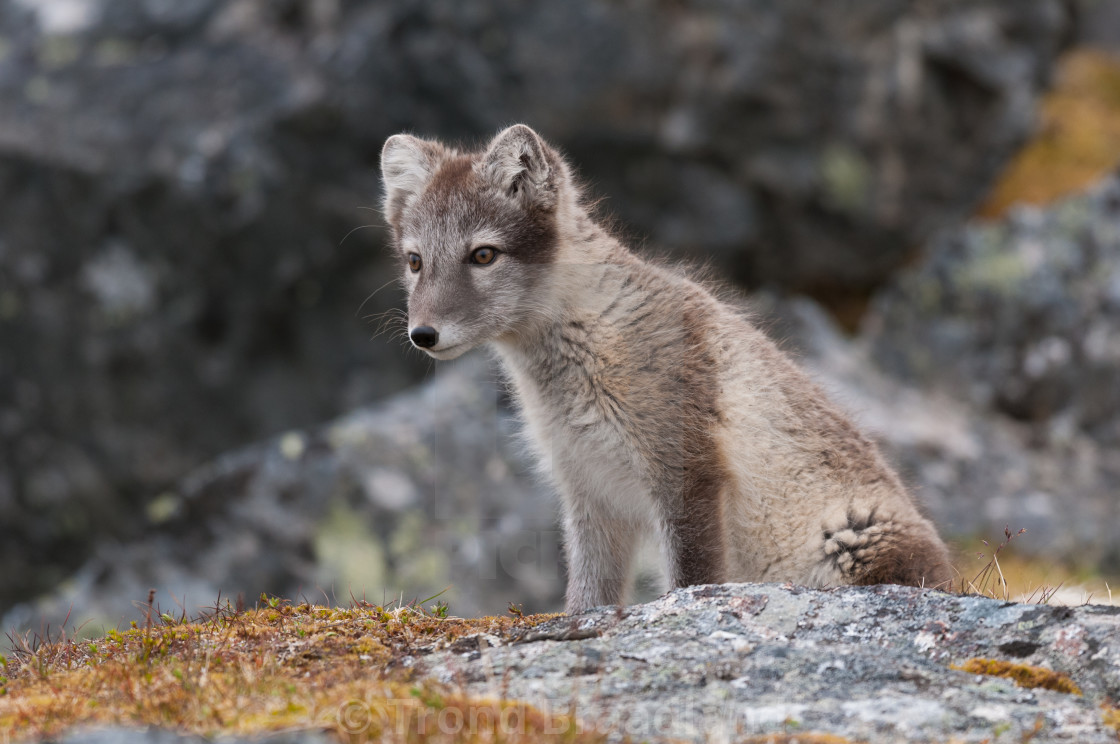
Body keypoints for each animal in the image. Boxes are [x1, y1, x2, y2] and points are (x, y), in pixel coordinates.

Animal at [380, 123, 949, 609]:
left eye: (482, 255)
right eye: (415, 262)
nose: (422, 335)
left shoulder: (685, 472)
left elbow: (692, 579)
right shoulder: (588, 490)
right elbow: (589, 594)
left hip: (854, 539)